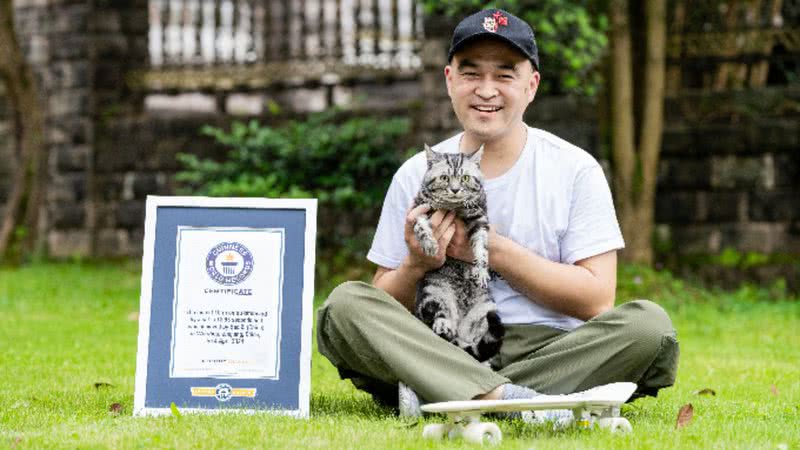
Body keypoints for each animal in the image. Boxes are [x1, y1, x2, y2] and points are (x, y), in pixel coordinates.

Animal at [416, 144, 504, 362]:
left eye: (464, 178)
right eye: (444, 178)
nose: (455, 189)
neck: (454, 208)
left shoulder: (479, 219)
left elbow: (481, 247)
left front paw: (480, 270)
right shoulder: (418, 209)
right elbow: (420, 227)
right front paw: (429, 244)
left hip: (487, 311)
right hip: (433, 294)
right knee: (439, 314)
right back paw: (444, 326)